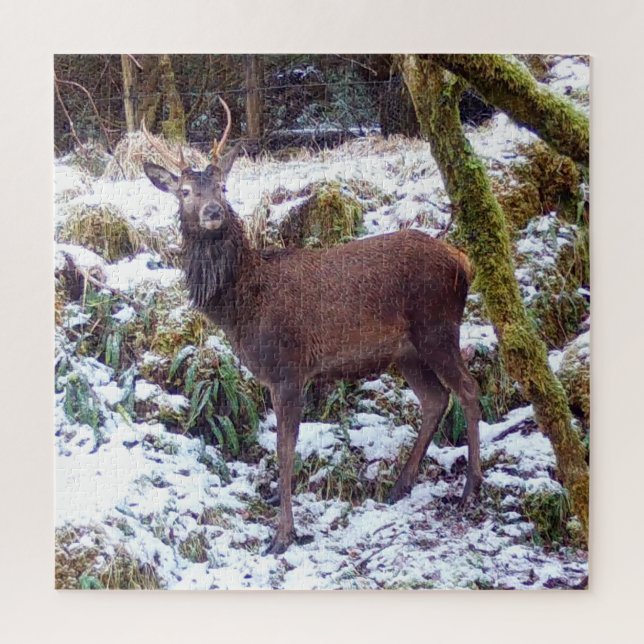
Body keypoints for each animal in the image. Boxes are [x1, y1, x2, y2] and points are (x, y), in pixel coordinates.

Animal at [143, 99, 483, 555]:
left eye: (223, 187)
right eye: (184, 192)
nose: (213, 212)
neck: (241, 307)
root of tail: (463, 261)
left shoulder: (289, 367)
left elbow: (285, 449)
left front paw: (282, 535)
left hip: (438, 327)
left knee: (468, 389)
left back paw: (470, 489)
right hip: (407, 351)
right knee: (435, 400)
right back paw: (400, 486)